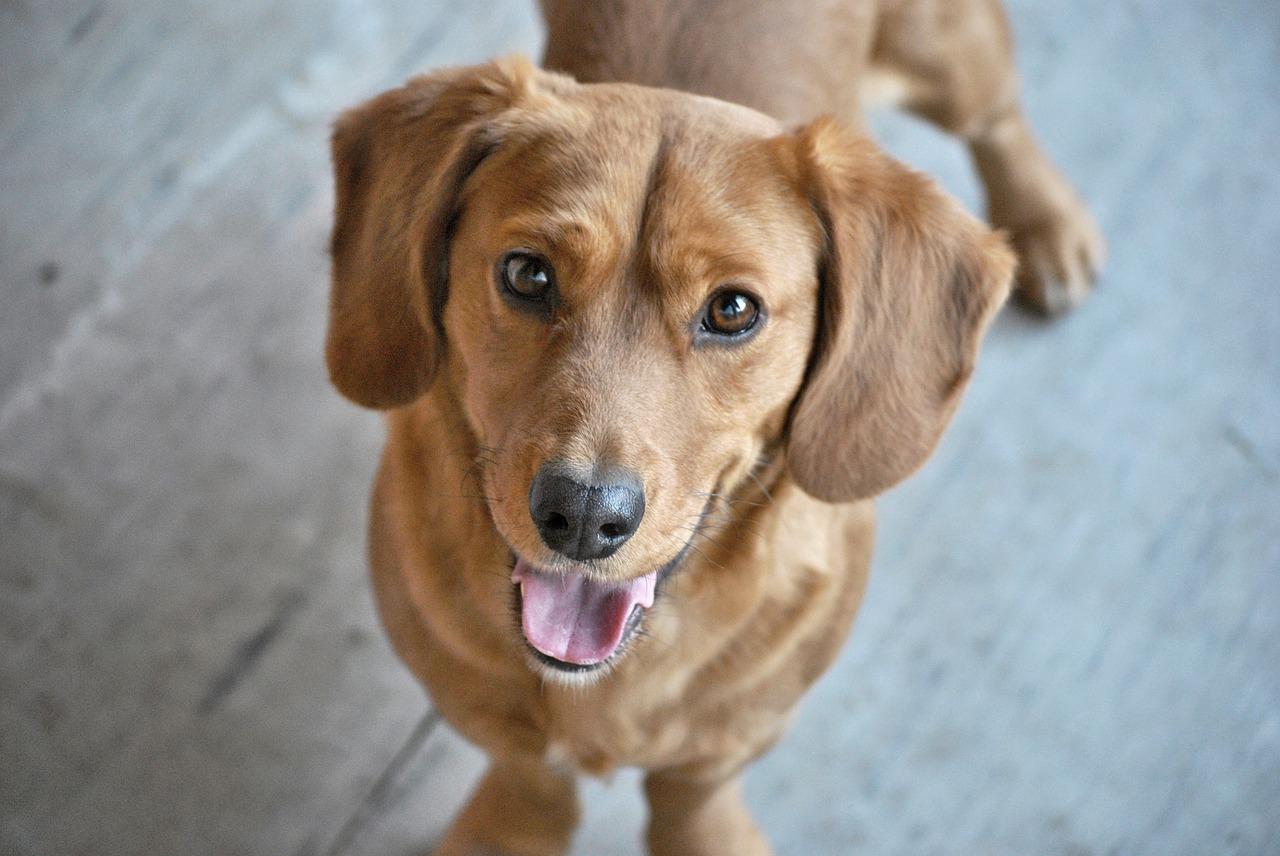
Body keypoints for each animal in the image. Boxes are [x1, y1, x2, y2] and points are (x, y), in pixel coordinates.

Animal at [325, 0, 1105, 849]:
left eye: (733, 310)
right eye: (527, 274)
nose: (582, 517)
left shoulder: (733, 737)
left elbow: (693, 797)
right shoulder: (478, 706)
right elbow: (530, 777)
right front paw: (512, 830)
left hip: (944, 51)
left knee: (995, 114)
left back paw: (1045, 220)